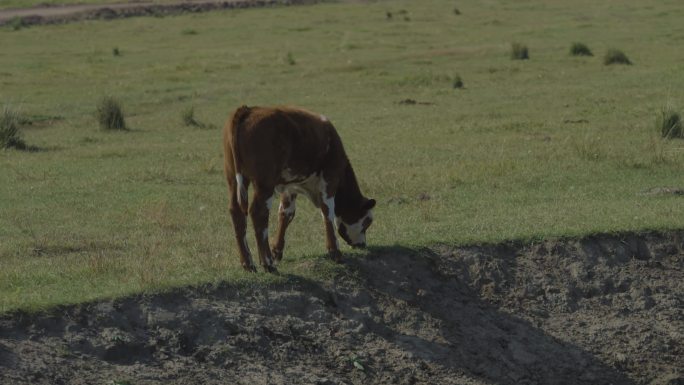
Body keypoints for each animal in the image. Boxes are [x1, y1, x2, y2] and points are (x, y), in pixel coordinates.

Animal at [223, 105, 374, 272]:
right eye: (367, 222)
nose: (362, 244)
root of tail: (248, 110)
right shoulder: (330, 177)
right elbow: (327, 212)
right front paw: (334, 251)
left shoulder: (290, 187)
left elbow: (286, 214)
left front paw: (277, 250)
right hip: (264, 183)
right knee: (258, 213)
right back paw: (267, 262)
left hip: (233, 178)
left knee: (237, 212)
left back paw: (248, 263)